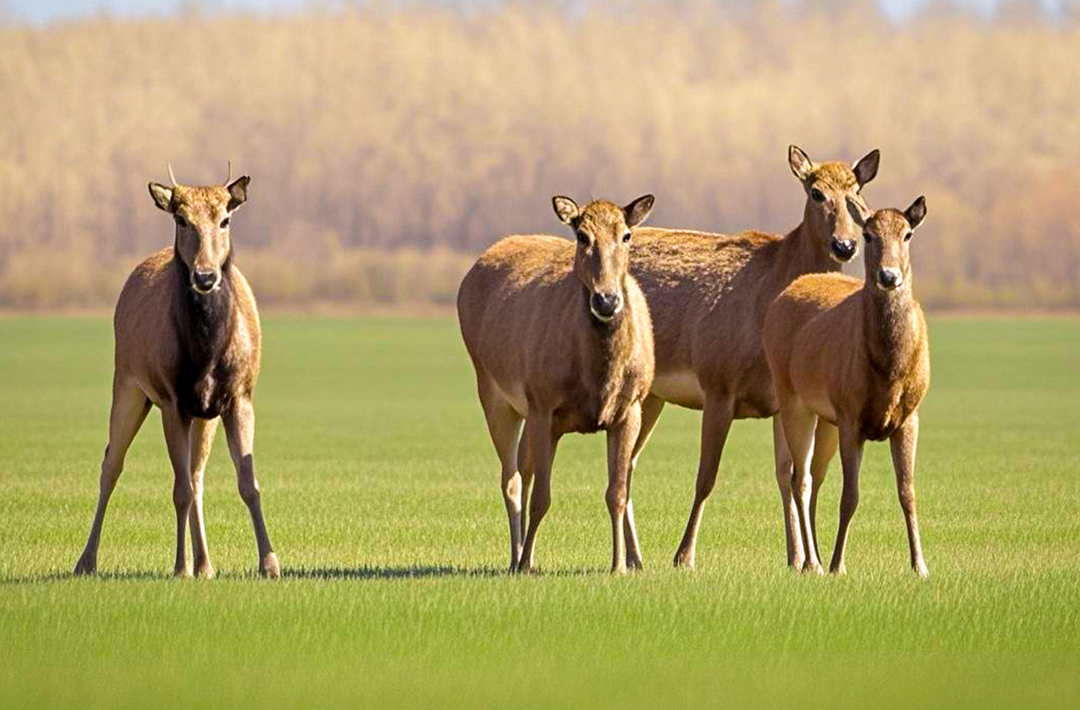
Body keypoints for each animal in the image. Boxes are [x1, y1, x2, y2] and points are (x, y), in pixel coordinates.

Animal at [73, 164, 280, 579]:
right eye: (181, 219)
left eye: (225, 219)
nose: (205, 276)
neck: (207, 354)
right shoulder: (172, 399)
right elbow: (177, 489)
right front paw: (179, 567)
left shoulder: (239, 396)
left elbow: (247, 483)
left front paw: (269, 564)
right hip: (127, 384)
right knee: (111, 464)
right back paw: (86, 561)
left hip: (204, 415)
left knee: (196, 475)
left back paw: (206, 564)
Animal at [457, 194, 656, 574]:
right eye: (581, 235)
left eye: (626, 235)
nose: (606, 300)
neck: (598, 380)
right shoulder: (543, 403)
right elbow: (542, 496)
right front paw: (524, 563)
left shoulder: (632, 407)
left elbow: (616, 493)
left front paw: (619, 566)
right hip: (491, 389)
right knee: (511, 479)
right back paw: (517, 558)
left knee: (523, 469)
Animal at [623, 145, 880, 569]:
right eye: (815, 192)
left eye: (857, 192)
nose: (844, 245)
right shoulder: (717, 382)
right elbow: (706, 476)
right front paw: (684, 556)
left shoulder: (781, 399)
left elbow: (788, 475)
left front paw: (799, 558)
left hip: (654, 395)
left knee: (627, 462)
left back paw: (634, 558)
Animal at [763, 196, 931, 577]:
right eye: (867, 234)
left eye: (908, 233)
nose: (889, 276)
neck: (888, 374)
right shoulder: (850, 415)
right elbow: (850, 495)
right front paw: (838, 564)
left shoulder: (910, 416)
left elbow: (908, 492)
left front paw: (920, 565)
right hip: (792, 397)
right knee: (800, 479)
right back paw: (812, 562)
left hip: (826, 419)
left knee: (814, 478)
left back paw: (814, 557)